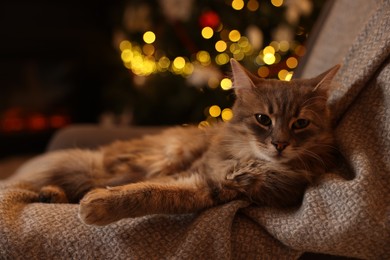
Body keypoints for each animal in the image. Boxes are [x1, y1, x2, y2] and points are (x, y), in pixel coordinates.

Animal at [9, 59, 342, 225]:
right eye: (263, 119)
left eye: (300, 123)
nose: (280, 144)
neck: (248, 162)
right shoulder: (196, 172)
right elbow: (145, 188)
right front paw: (96, 201)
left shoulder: (210, 189)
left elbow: (152, 193)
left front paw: (97, 205)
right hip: (137, 162)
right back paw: (51, 194)